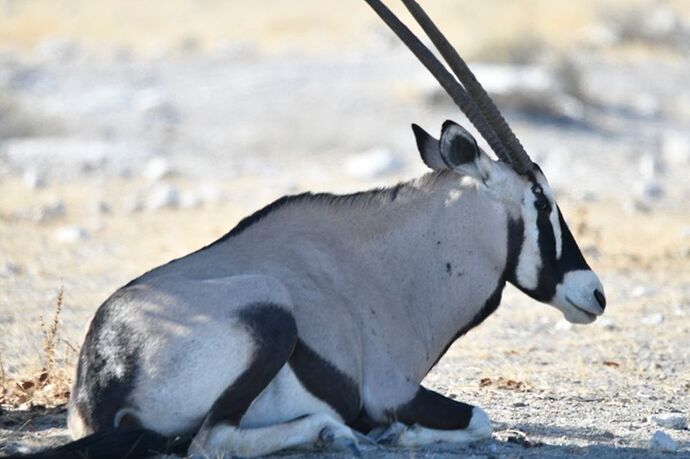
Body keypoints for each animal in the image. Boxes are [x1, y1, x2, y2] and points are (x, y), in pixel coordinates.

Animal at [21, 0, 604, 459]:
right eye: (541, 200)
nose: (595, 293)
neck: (398, 263)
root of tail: (106, 374)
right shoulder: (391, 391)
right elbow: (479, 418)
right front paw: (394, 435)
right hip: (270, 317)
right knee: (210, 440)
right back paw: (334, 433)